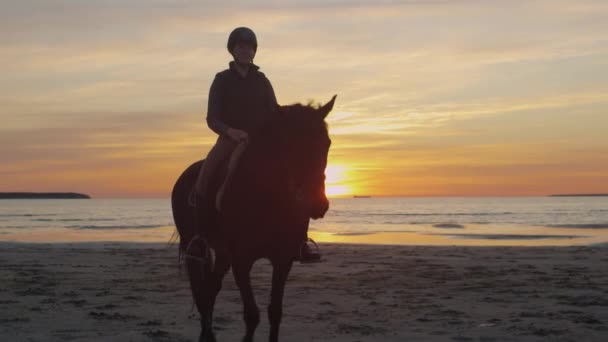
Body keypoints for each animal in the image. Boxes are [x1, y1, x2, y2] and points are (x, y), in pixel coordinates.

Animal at [170, 95, 338, 340]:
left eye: (326, 143)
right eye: (290, 145)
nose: (316, 205)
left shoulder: (282, 259)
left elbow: (275, 312)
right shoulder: (241, 261)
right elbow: (252, 315)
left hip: (223, 254)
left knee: (210, 289)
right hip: (197, 248)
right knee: (202, 292)